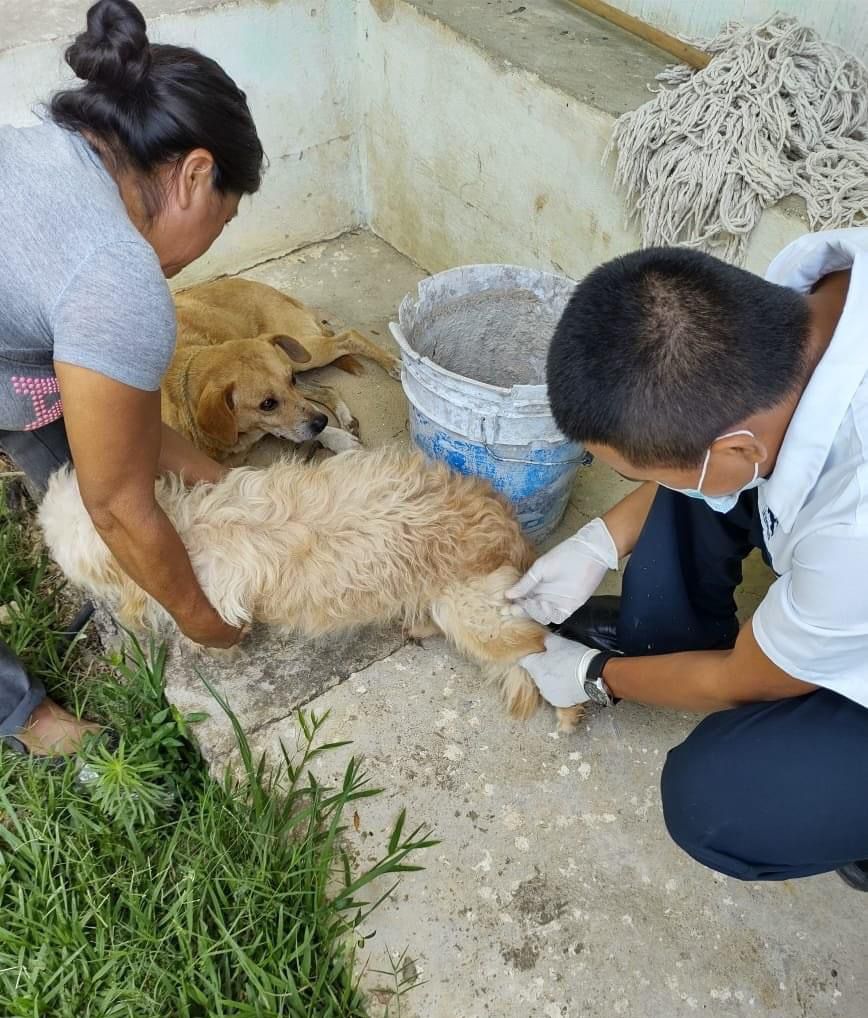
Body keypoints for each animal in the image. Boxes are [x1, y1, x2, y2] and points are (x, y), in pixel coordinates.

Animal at [40, 447, 582, 732]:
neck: (184, 529)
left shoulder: (214, 607)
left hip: (475, 617)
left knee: (535, 643)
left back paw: (567, 705)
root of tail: (509, 528)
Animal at [162, 278, 398, 462]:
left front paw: (338, 439)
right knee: (327, 389)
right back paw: (345, 417)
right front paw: (337, 437)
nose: (322, 421)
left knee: (349, 336)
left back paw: (394, 364)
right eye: (267, 404)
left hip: (303, 354)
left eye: (291, 379)